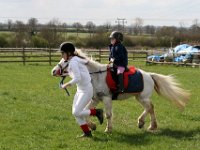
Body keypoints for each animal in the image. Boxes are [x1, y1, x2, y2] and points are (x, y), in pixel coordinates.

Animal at [50, 50, 190, 132]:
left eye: (66, 60)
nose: (53, 71)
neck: (96, 75)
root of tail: (149, 75)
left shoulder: (106, 98)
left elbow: (108, 114)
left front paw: (108, 129)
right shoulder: (96, 99)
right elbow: (86, 111)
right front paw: (92, 125)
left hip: (143, 97)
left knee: (150, 107)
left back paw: (148, 124)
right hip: (139, 97)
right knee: (149, 108)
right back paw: (145, 124)